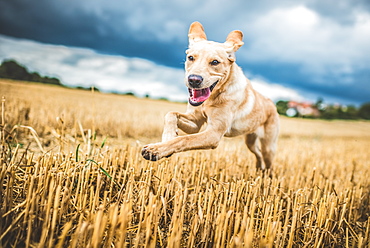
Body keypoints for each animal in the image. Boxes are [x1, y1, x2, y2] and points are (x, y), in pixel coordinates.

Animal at [140, 21, 278, 170]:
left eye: (215, 62)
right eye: (190, 58)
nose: (194, 80)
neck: (211, 98)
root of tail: (272, 104)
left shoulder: (214, 133)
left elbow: (183, 139)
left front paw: (156, 150)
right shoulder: (195, 124)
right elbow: (171, 114)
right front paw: (166, 138)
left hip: (268, 146)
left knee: (268, 162)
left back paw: (266, 174)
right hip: (250, 140)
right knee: (257, 153)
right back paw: (259, 168)